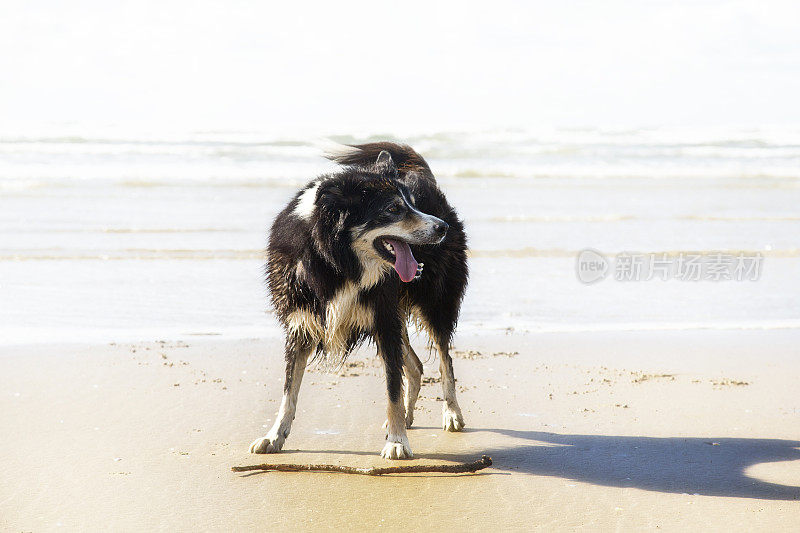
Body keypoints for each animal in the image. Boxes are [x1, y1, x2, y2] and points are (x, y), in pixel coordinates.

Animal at [250, 142, 468, 458]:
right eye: (393, 209)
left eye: (413, 204)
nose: (442, 228)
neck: (336, 262)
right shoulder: (300, 324)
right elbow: (289, 391)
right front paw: (274, 436)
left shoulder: (383, 319)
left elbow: (392, 387)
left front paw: (397, 442)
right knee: (415, 366)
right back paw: (408, 416)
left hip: (435, 304)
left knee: (444, 360)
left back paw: (451, 414)